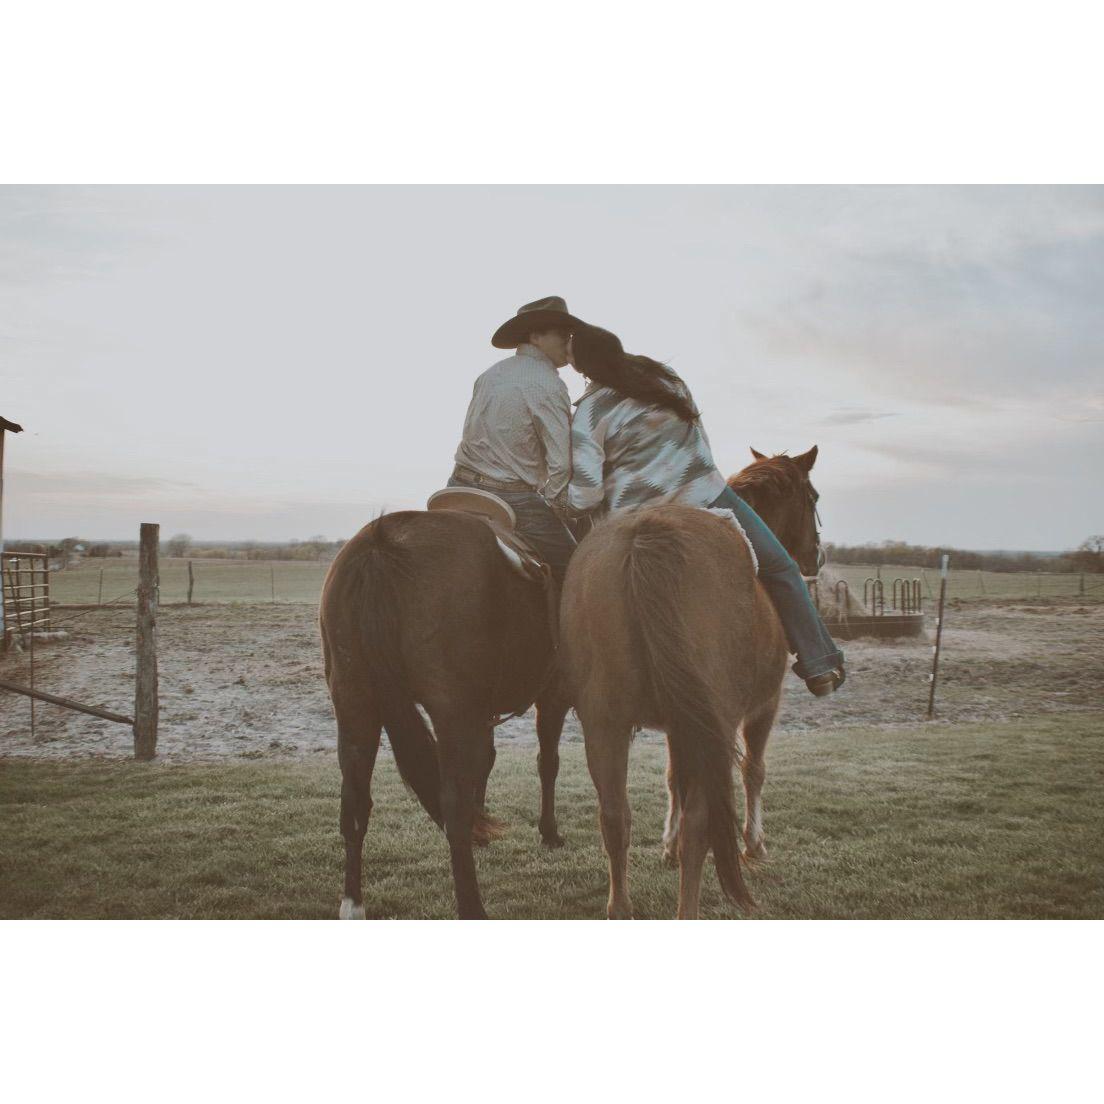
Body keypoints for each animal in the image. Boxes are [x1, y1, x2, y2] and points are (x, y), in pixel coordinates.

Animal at [319, 508, 570, 920]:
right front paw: (548, 832)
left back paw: (353, 904)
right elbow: (546, 762)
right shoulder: (551, 697)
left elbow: (486, 762)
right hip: (450, 711)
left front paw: (483, 826)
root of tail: (381, 544)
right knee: (451, 805)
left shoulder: (481, 713)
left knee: (354, 805)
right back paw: (472, 907)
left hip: (355, 704)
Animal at [559, 446, 823, 919]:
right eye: (811, 497)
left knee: (614, 817)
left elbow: (672, 778)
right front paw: (754, 845)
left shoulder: (678, 724)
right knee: (701, 825)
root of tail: (648, 533)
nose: (816, 556)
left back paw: (620, 907)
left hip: (605, 724)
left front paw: (666, 846)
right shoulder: (763, 707)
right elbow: (753, 769)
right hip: (710, 724)